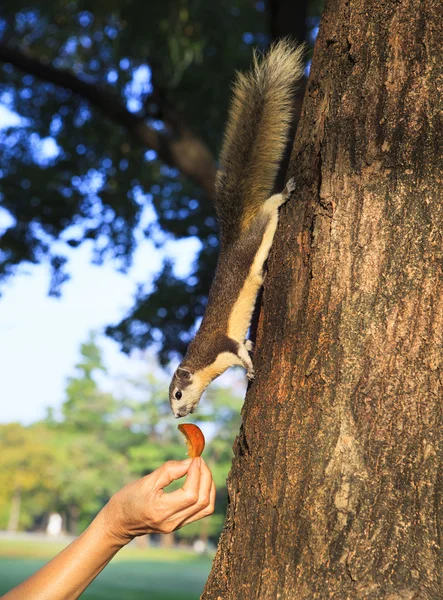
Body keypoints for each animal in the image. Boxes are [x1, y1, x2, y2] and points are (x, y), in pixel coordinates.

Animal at [170, 39, 306, 420]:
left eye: (177, 393)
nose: (178, 416)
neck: (203, 361)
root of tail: (232, 243)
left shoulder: (222, 344)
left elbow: (240, 352)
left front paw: (250, 369)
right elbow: (245, 343)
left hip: (256, 237)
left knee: (268, 212)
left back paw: (284, 192)